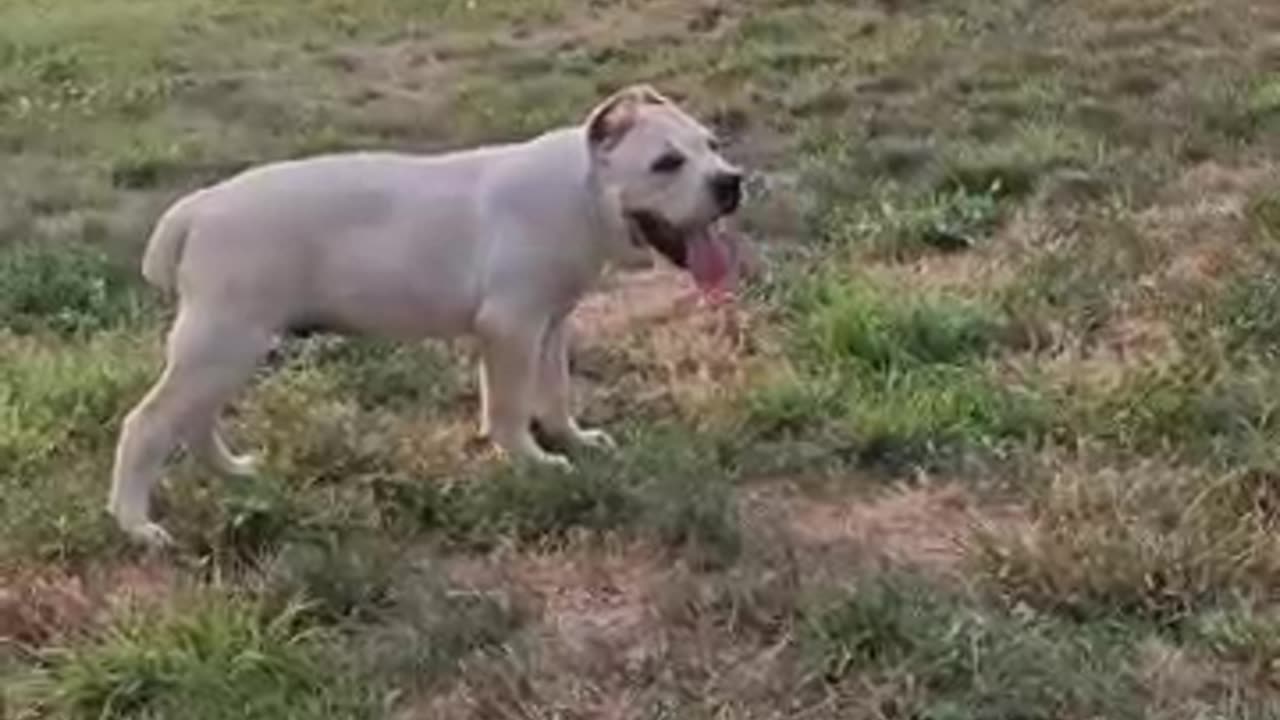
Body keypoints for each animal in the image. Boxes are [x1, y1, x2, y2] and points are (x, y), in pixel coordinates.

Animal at [110, 83, 747, 543]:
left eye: (713, 146)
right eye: (666, 163)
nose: (731, 182)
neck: (584, 191)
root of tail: (197, 208)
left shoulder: (549, 326)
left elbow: (556, 394)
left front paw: (576, 441)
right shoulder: (510, 328)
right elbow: (509, 409)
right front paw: (534, 463)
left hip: (230, 347)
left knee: (194, 419)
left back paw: (235, 474)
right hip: (221, 343)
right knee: (146, 425)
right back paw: (137, 526)